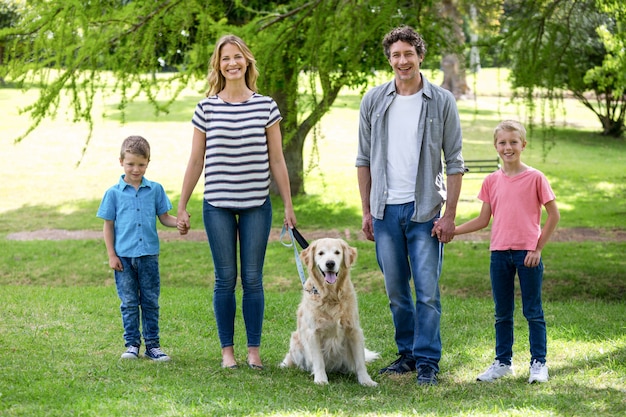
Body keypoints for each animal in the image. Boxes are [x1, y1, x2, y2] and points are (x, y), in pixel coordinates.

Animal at [280, 236, 378, 386]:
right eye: (321, 253)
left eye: (337, 252)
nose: (330, 263)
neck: (331, 296)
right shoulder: (313, 332)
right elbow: (319, 361)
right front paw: (321, 380)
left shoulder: (354, 330)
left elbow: (360, 362)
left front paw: (366, 381)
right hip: (295, 340)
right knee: (291, 358)